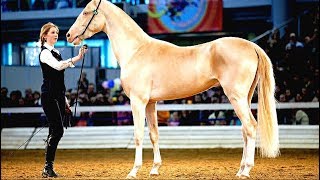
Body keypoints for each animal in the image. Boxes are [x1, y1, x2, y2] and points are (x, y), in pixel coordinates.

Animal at [66, 0, 278, 178]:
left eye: (86, 12)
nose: (68, 35)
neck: (136, 51)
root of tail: (251, 45)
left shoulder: (137, 102)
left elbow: (138, 135)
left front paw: (133, 171)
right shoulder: (150, 103)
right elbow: (154, 134)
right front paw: (154, 169)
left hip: (236, 97)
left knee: (250, 127)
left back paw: (246, 170)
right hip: (245, 97)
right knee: (245, 130)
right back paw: (240, 169)